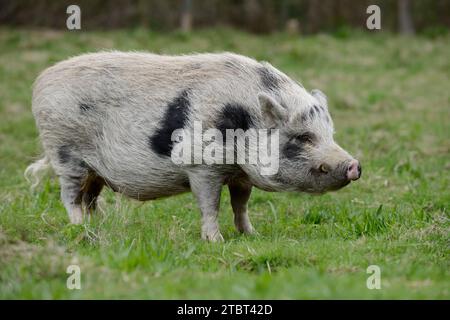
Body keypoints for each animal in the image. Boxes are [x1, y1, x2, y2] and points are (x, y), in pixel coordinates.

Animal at [25, 52, 362, 241]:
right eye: (303, 137)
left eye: (329, 134)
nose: (354, 165)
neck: (242, 119)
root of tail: (41, 80)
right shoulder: (202, 165)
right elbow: (210, 204)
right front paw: (216, 241)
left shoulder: (240, 173)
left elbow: (241, 204)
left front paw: (252, 234)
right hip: (66, 152)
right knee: (70, 196)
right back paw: (80, 229)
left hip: (93, 169)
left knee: (90, 198)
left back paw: (102, 227)